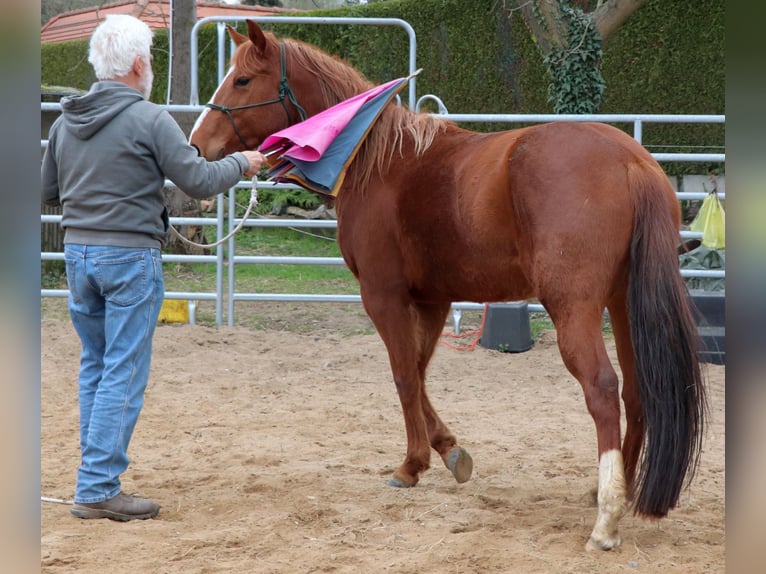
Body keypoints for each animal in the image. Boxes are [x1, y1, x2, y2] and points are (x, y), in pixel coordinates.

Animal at [189, 20, 707, 551]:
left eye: (243, 80)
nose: (196, 144)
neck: (377, 159)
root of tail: (631, 161)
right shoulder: (433, 301)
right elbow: (418, 374)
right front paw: (447, 451)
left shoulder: (383, 297)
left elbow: (403, 375)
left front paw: (410, 466)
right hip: (623, 305)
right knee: (638, 391)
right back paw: (620, 489)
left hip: (574, 308)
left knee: (602, 389)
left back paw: (606, 519)